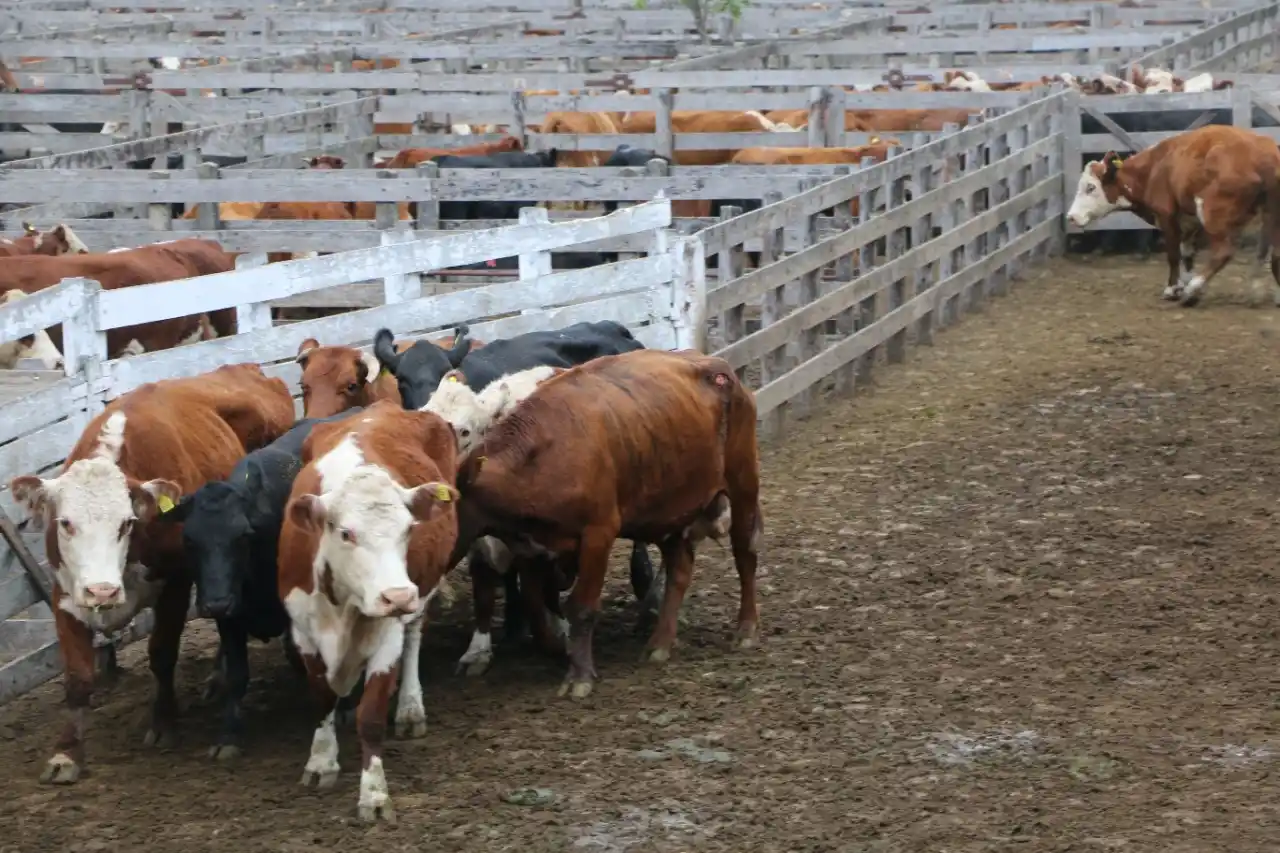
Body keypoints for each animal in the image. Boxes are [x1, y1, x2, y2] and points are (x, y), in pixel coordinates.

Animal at [8, 363, 295, 783]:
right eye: (65, 523)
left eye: (126, 523)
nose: (102, 592)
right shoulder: (65, 594)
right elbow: (77, 677)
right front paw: (66, 754)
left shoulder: (176, 581)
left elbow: (161, 653)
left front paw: (163, 724)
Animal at [153, 408, 365, 760]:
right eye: (189, 540)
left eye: (243, 535)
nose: (215, 602)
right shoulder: (231, 617)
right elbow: (239, 674)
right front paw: (228, 734)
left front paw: (343, 707)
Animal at [278, 401, 460, 823]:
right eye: (346, 533)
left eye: (408, 529)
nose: (397, 595)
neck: (343, 603)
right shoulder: (302, 629)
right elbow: (322, 696)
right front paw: (321, 762)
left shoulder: (386, 632)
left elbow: (372, 716)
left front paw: (374, 795)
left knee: (415, 637)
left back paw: (410, 707)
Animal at [453, 349, 763, 698]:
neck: (541, 452)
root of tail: (718, 367)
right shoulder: (532, 546)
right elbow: (535, 603)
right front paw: (557, 647)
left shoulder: (597, 535)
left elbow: (581, 606)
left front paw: (579, 675)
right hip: (670, 505)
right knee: (680, 570)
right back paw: (660, 643)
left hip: (743, 483)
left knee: (745, 554)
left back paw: (746, 628)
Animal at [1066, 125, 1280, 307]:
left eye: (1090, 187)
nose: (1071, 217)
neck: (1153, 169)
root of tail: (1264, 156)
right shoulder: (1189, 221)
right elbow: (1187, 254)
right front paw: (1184, 283)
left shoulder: (1166, 215)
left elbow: (1173, 255)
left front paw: (1173, 289)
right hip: (1272, 215)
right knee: (1273, 253)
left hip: (1213, 213)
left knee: (1223, 252)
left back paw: (1192, 292)